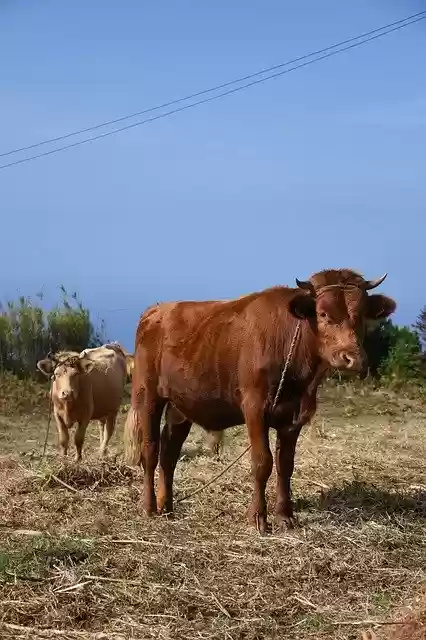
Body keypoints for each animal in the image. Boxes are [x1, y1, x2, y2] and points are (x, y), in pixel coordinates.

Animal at [124, 269, 396, 533]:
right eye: (322, 313)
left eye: (361, 315)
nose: (353, 359)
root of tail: (157, 310)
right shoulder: (255, 408)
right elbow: (262, 462)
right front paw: (257, 518)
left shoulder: (293, 417)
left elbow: (285, 465)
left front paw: (285, 517)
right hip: (147, 395)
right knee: (150, 450)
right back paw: (149, 507)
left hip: (180, 407)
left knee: (169, 454)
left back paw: (167, 507)